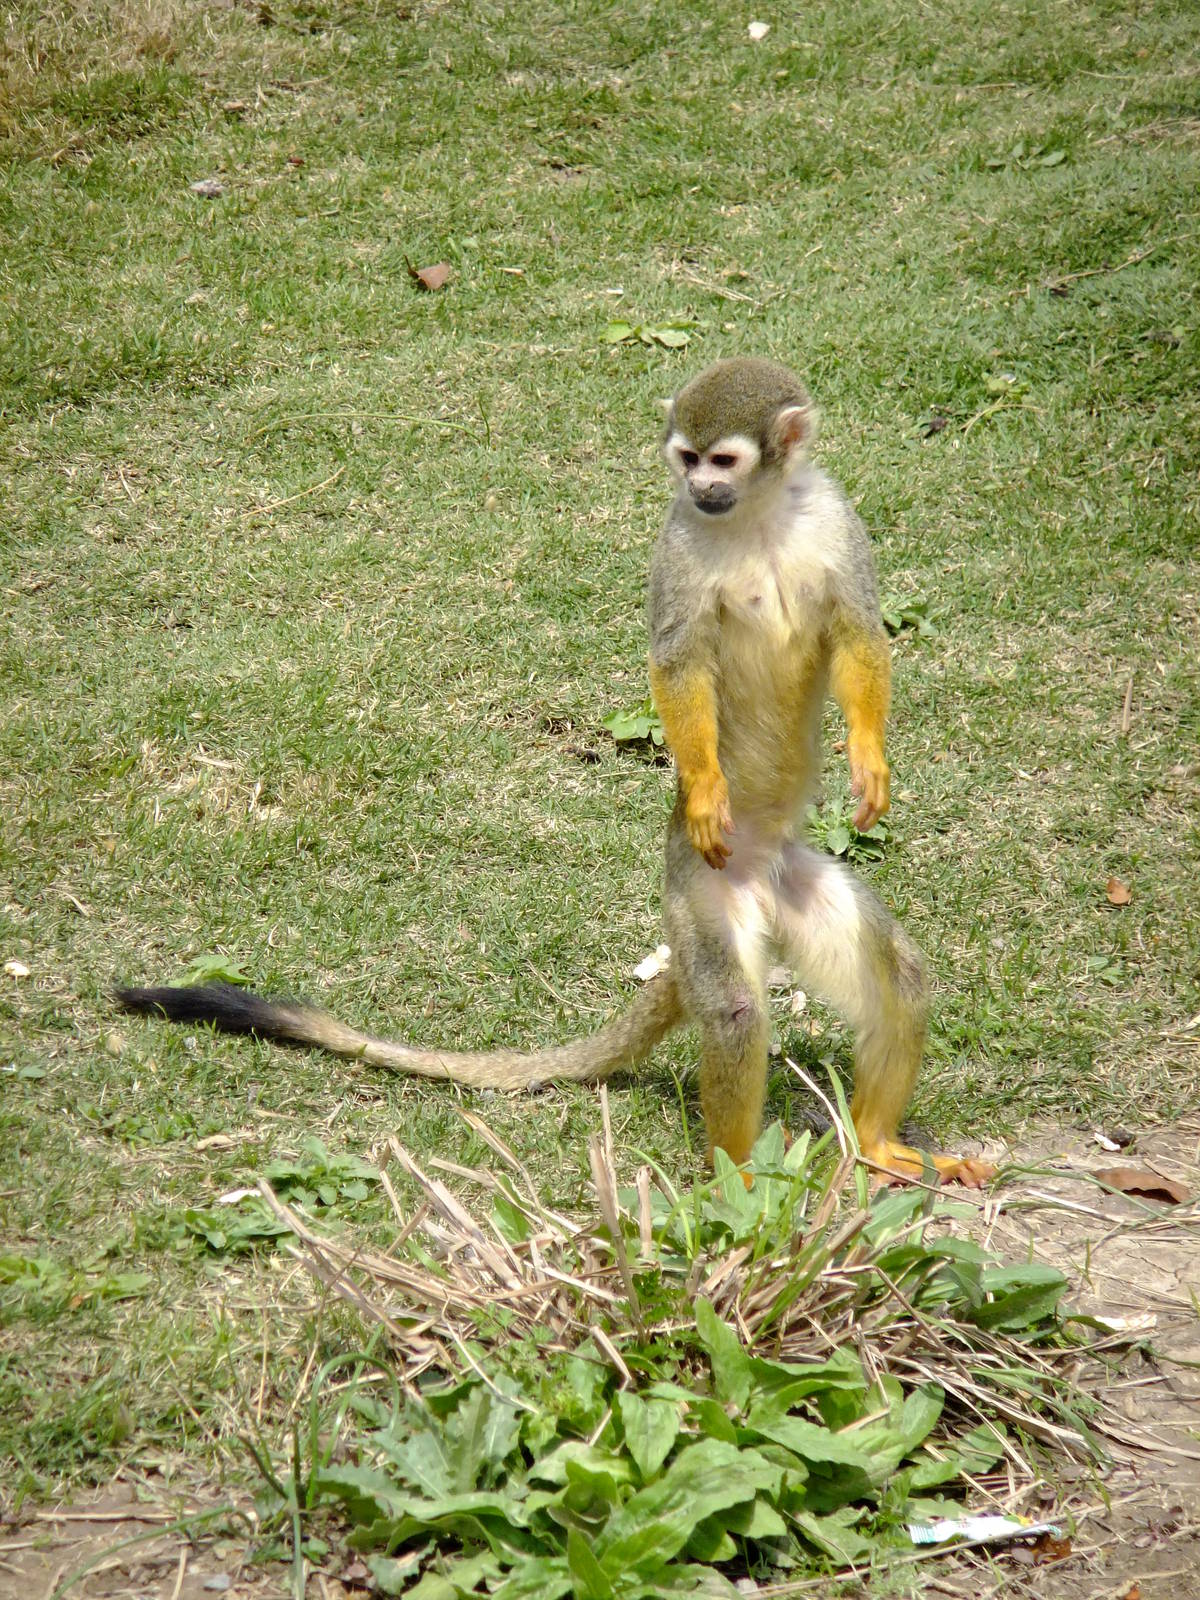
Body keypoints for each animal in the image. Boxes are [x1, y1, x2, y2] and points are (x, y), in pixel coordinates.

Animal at [117, 357, 990, 1189]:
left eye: (725, 461)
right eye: (688, 459)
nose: (699, 488)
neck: (759, 514)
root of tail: (757, 875)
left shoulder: (832, 516)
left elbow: (857, 628)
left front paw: (870, 758)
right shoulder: (678, 541)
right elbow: (677, 659)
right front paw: (707, 789)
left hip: (793, 883)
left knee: (902, 977)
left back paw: (873, 1144)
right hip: (699, 895)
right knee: (737, 1010)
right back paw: (739, 1181)